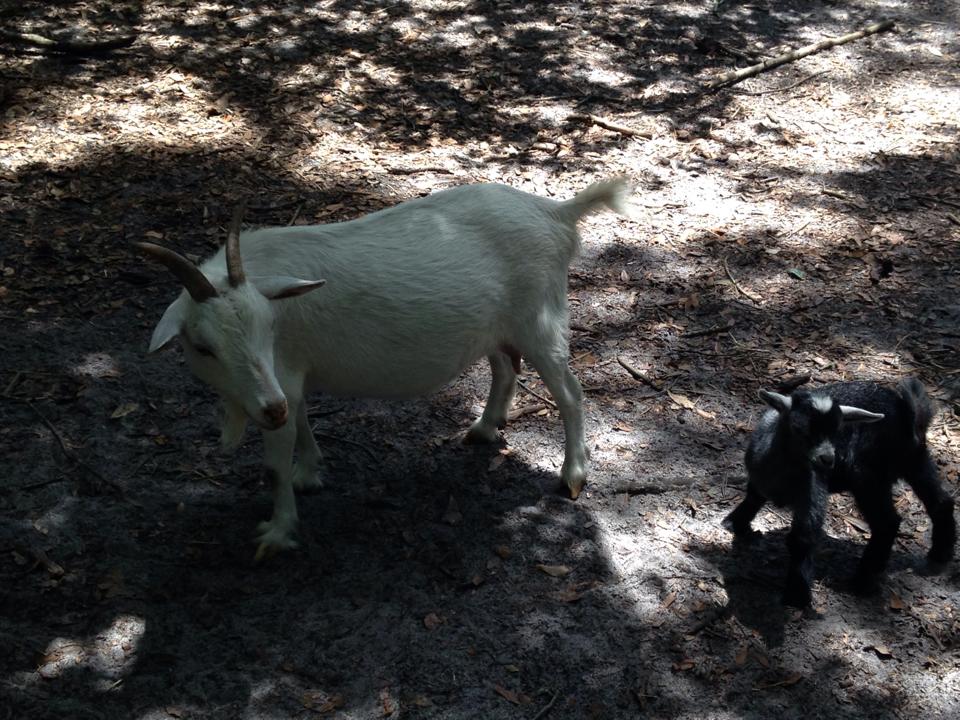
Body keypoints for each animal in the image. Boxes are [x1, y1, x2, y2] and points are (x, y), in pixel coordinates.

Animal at [135, 179, 632, 556]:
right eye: (203, 346)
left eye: (267, 326)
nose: (269, 410)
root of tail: (556, 213)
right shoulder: (287, 380)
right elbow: (301, 419)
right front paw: (309, 473)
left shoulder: (281, 375)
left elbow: (275, 462)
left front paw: (276, 534)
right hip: (496, 326)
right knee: (505, 368)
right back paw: (484, 428)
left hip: (541, 322)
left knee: (569, 393)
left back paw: (573, 473)